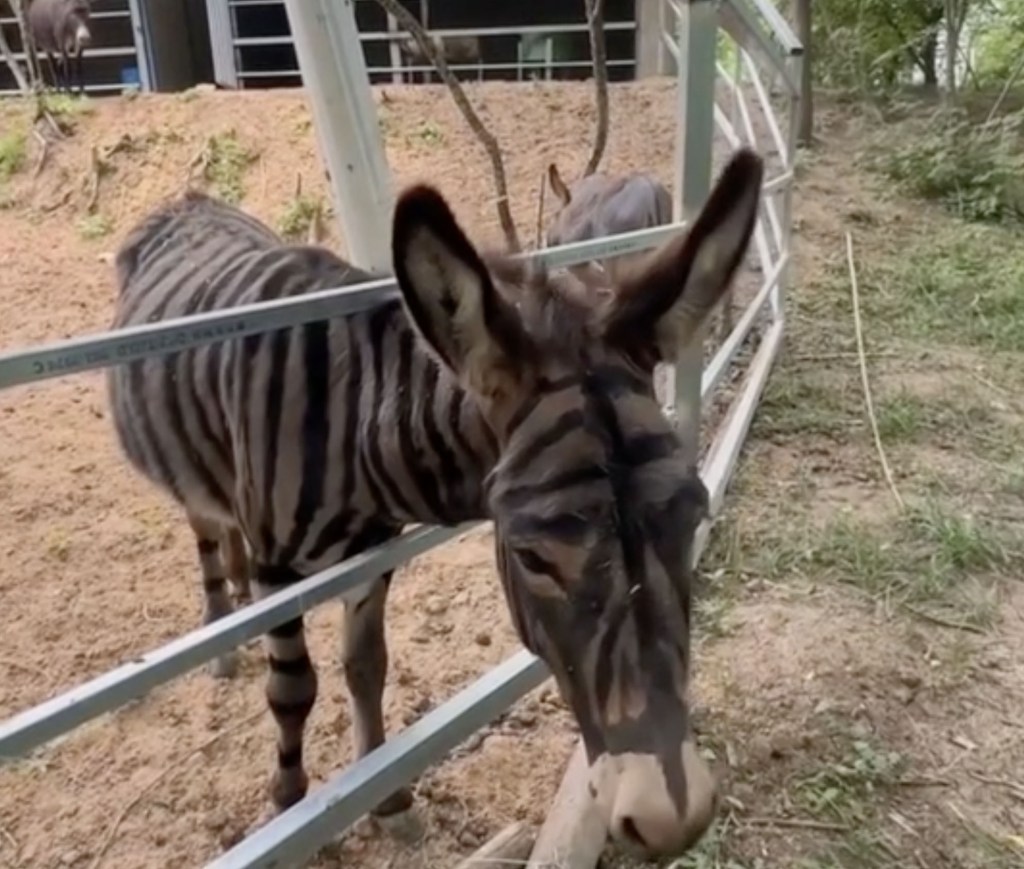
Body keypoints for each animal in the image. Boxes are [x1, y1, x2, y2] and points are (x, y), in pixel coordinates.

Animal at [105, 147, 763, 857]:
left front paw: (388, 800)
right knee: (204, 523)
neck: (353, 429)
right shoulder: (279, 572)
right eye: (530, 557)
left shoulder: (372, 555)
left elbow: (366, 666)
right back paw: (222, 629)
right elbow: (292, 691)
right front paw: (288, 805)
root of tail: (188, 199)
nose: (673, 819)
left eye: (694, 516)